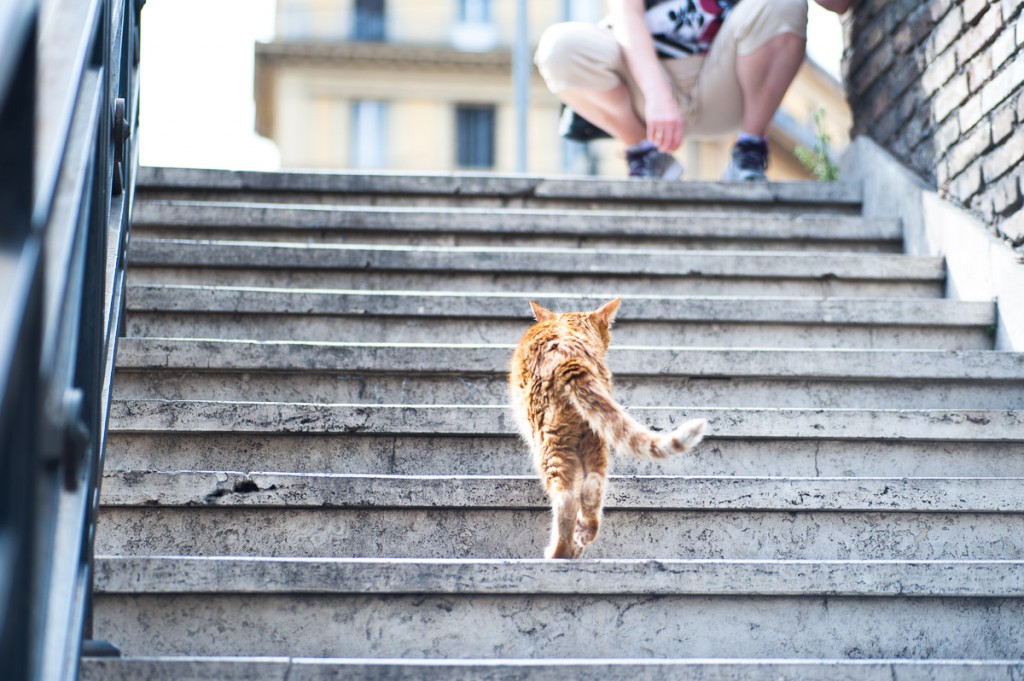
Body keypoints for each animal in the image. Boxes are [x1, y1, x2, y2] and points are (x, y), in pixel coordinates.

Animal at [509, 296, 708, 557]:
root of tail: (570, 359)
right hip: (596, 436)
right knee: (593, 486)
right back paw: (581, 539)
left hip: (550, 439)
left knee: (566, 497)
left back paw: (559, 552)